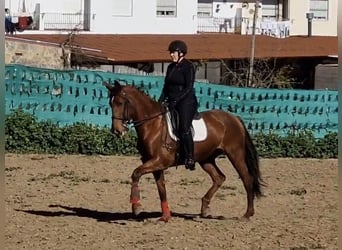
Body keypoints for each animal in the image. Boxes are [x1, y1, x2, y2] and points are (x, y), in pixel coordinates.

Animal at [104, 79, 264, 221]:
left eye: (120, 103)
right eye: (110, 103)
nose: (117, 131)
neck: (153, 124)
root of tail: (235, 118)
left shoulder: (159, 161)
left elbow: (136, 173)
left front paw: (136, 206)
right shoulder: (155, 164)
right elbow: (161, 188)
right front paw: (165, 216)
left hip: (235, 154)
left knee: (247, 178)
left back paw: (247, 214)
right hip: (206, 159)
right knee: (219, 178)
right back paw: (205, 209)